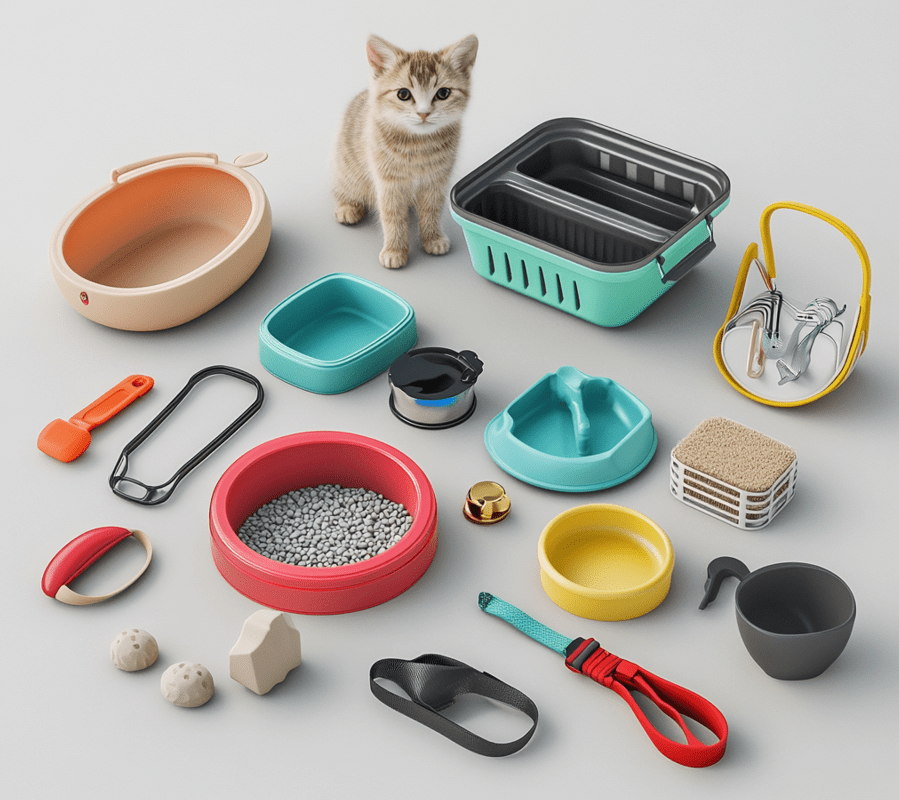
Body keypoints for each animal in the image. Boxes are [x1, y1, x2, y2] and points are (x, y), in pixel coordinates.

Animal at [334, 33, 482, 268]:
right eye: (403, 94)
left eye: (443, 93)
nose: (423, 113)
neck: (419, 145)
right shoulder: (388, 182)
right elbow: (392, 216)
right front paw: (394, 250)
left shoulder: (436, 180)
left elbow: (431, 210)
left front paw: (432, 238)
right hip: (346, 168)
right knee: (344, 188)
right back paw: (348, 207)